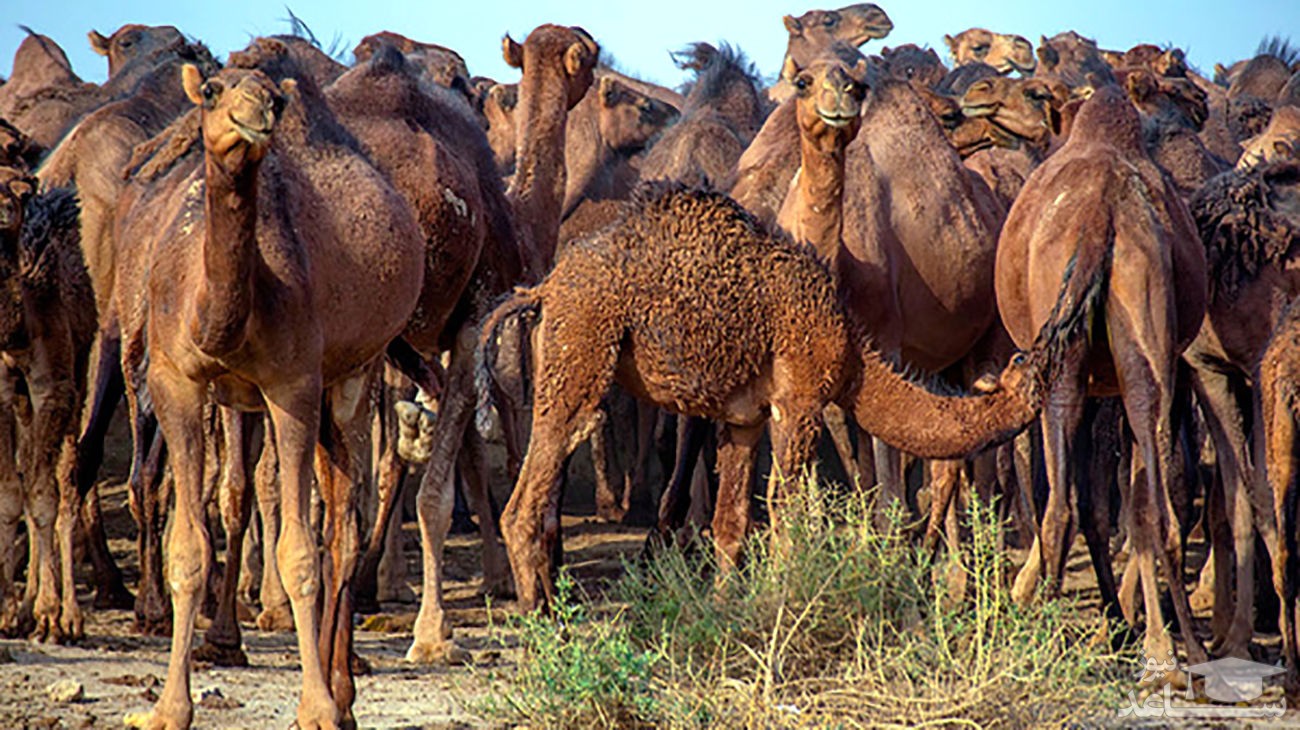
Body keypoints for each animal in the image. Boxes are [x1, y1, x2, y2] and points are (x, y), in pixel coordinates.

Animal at [113, 41, 421, 727]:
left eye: (274, 97)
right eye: (212, 90)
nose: (258, 112)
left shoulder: (293, 384)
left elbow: (300, 553)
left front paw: (317, 706)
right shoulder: (175, 383)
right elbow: (188, 549)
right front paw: (169, 708)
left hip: (354, 375)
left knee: (343, 528)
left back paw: (343, 693)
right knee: (336, 513)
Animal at [993, 85, 1206, 665]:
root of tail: (1098, 220)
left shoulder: (1088, 381)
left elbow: (1092, 500)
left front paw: (1112, 619)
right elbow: (1113, 500)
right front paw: (1120, 622)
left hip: (1070, 362)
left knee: (1064, 503)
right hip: (1143, 339)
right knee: (1155, 500)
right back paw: (1180, 648)